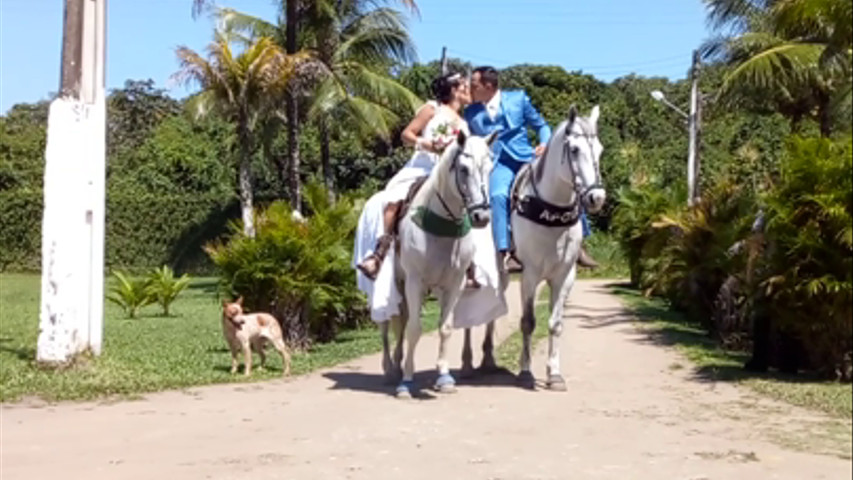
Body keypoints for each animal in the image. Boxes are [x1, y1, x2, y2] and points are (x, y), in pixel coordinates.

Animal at [382, 129, 496, 400]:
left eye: (490, 167)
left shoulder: (454, 283)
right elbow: (414, 329)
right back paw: (391, 370)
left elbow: (445, 327)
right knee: (389, 325)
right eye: (463, 169)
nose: (482, 216)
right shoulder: (415, 281)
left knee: (401, 322)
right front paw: (406, 382)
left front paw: (444, 378)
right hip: (395, 283)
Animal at [460, 104, 604, 390]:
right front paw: (526, 372)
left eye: (600, 149)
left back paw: (488, 359)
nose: (597, 197)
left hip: (500, 273)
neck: (549, 210)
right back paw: (468, 364)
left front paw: (554, 374)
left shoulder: (565, 275)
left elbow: (556, 324)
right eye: (574, 150)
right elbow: (527, 322)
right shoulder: (530, 274)